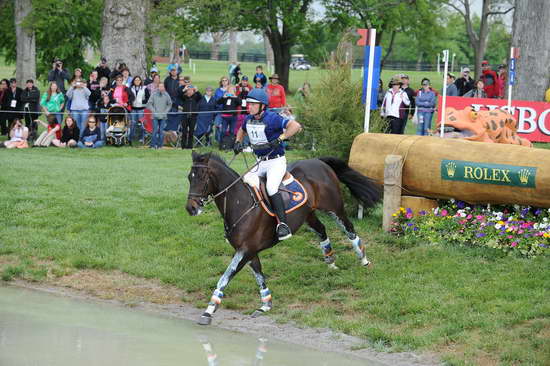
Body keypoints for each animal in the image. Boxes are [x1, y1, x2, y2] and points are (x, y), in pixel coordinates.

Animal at [188, 152, 382, 326]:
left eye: (203, 178)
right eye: (189, 178)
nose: (191, 208)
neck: (240, 202)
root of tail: (318, 161)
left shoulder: (246, 250)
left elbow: (224, 278)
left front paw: (208, 311)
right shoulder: (249, 251)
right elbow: (259, 276)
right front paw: (265, 305)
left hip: (334, 208)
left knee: (349, 229)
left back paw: (364, 260)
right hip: (308, 214)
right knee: (321, 230)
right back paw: (331, 261)